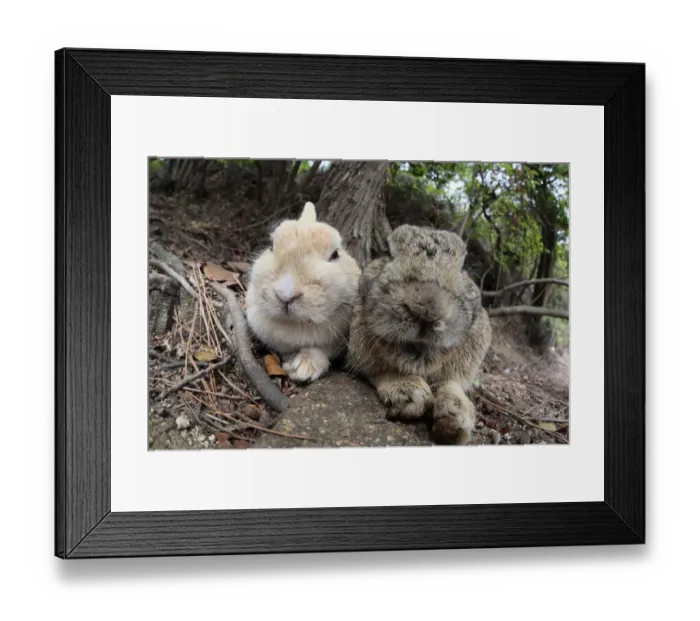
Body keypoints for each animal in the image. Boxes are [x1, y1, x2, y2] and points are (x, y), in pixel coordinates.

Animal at [346, 224, 492, 445]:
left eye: (462, 268)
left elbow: (450, 384)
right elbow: (382, 372)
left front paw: (455, 419)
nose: (427, 311)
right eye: (388, 253)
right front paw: (411, 394)